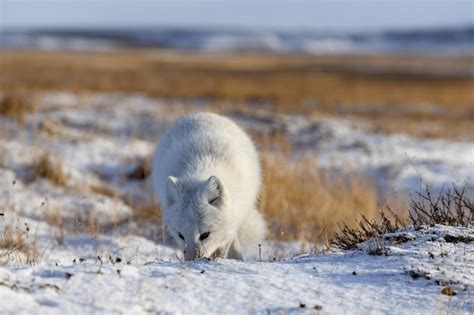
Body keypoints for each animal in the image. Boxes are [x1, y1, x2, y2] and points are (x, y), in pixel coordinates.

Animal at [152, 112, 266, 260]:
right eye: (181, 235)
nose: (191, 261)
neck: (199, 171)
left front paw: (218, 260)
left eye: (205, 235)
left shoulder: (232, 221)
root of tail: (203, 113)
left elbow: (223, 247)